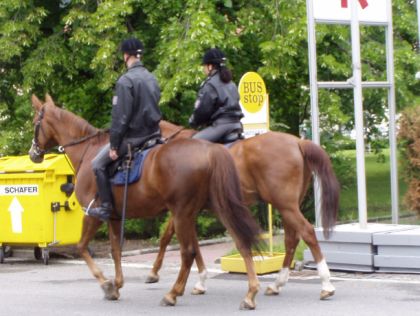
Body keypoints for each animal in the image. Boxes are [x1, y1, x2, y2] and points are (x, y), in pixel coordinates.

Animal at [27, 95, 262, 310]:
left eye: (35, 121)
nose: (33, 154)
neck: (87, 151)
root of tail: (210, 150)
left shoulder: (93, 213)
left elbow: (82, 247)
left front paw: (106, 284)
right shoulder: (114, 217)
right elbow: (115, 250)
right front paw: (117, 284)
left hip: (183, 213)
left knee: (188, 252)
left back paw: (173, 294)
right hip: (215, 207)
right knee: (241, 241)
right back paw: (250, 293)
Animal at [146, 119, 340, 300]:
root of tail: (298, 142)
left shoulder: (182, 210)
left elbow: (167, 238)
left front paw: (154, 273)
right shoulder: (188, 211)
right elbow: (192, 243)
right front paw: (200, 282)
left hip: (286, 205)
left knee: (307, 232)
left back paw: (326, 284)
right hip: (288, 207)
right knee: (291, 240)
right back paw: (277, 284)